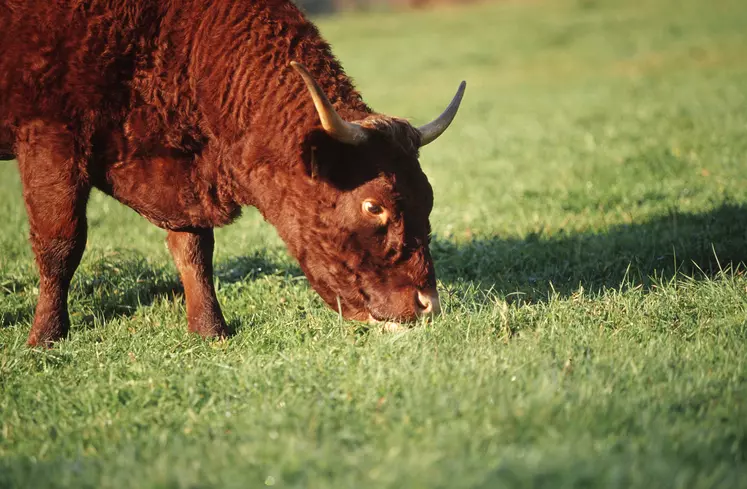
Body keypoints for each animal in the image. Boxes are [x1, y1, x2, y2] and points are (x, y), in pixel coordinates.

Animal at [0, 0, 464, 346]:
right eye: (373, 206)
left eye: (428, 198)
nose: (428, 304)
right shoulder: (50, 137)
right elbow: (61, 244)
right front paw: (45, 337)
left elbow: (194, 251)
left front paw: (210, 330)